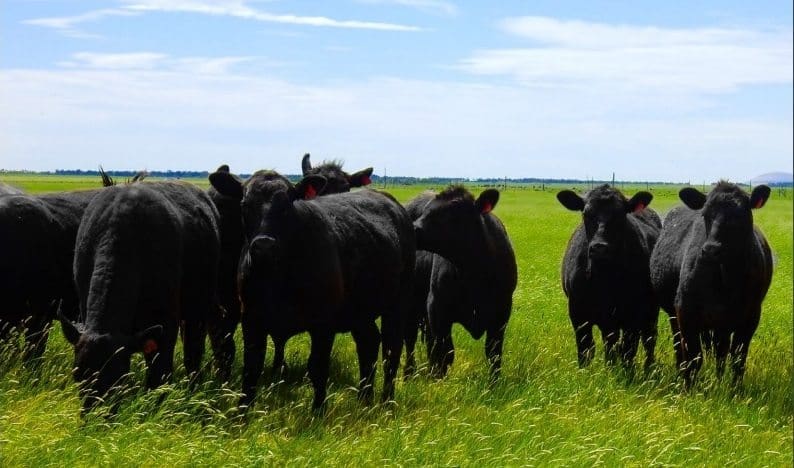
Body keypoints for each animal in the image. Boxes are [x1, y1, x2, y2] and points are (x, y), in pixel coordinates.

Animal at [57, 182, 220, 414]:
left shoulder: (166, 324)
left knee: (193, 352)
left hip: (198, 308)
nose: (94, 418)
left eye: (118, 378)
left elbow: (159, 376)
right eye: (78, 376)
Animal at [207, 170, 412, 412]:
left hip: (398, 304)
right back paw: (364, 399)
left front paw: (318, 412)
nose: (264, 246)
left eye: (286, 206)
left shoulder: (323, 323)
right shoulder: (251, 319)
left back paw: (386, 402)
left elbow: (317, 367)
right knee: (368, 343)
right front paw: (241, 413)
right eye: (245, 205)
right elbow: (251, 368)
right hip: (360, 311)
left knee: (391, 350)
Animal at [406, 186, 516, 380]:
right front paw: (438, 380)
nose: (414, 228)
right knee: (410, 340)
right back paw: (409, 374)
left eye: (452, 214)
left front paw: (494, 383)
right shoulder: (437, 308)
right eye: (427, 210)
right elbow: (445, 352)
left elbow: (493, 352)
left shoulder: (502, 312)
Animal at [552, 185, 660, 372]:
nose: (599, 247)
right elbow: (586, 348)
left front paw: (626, 374)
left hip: (651, 311)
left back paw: (649, 369)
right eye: (586, 213)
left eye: (621, 214)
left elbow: (628, 349)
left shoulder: (633, 313)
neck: (604, 279)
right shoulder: (578, 312)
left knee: (649, 339)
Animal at [648, 180, 768, 388]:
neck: (726, 278)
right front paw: (688, 388)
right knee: (680, 346)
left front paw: (734, 390)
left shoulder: (751, 316)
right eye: (705, 214)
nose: (711, 250)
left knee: (721, 352)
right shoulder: (685, 311)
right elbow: (693, 356)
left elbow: (738, 359)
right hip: (676, 315)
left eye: (741, 215)